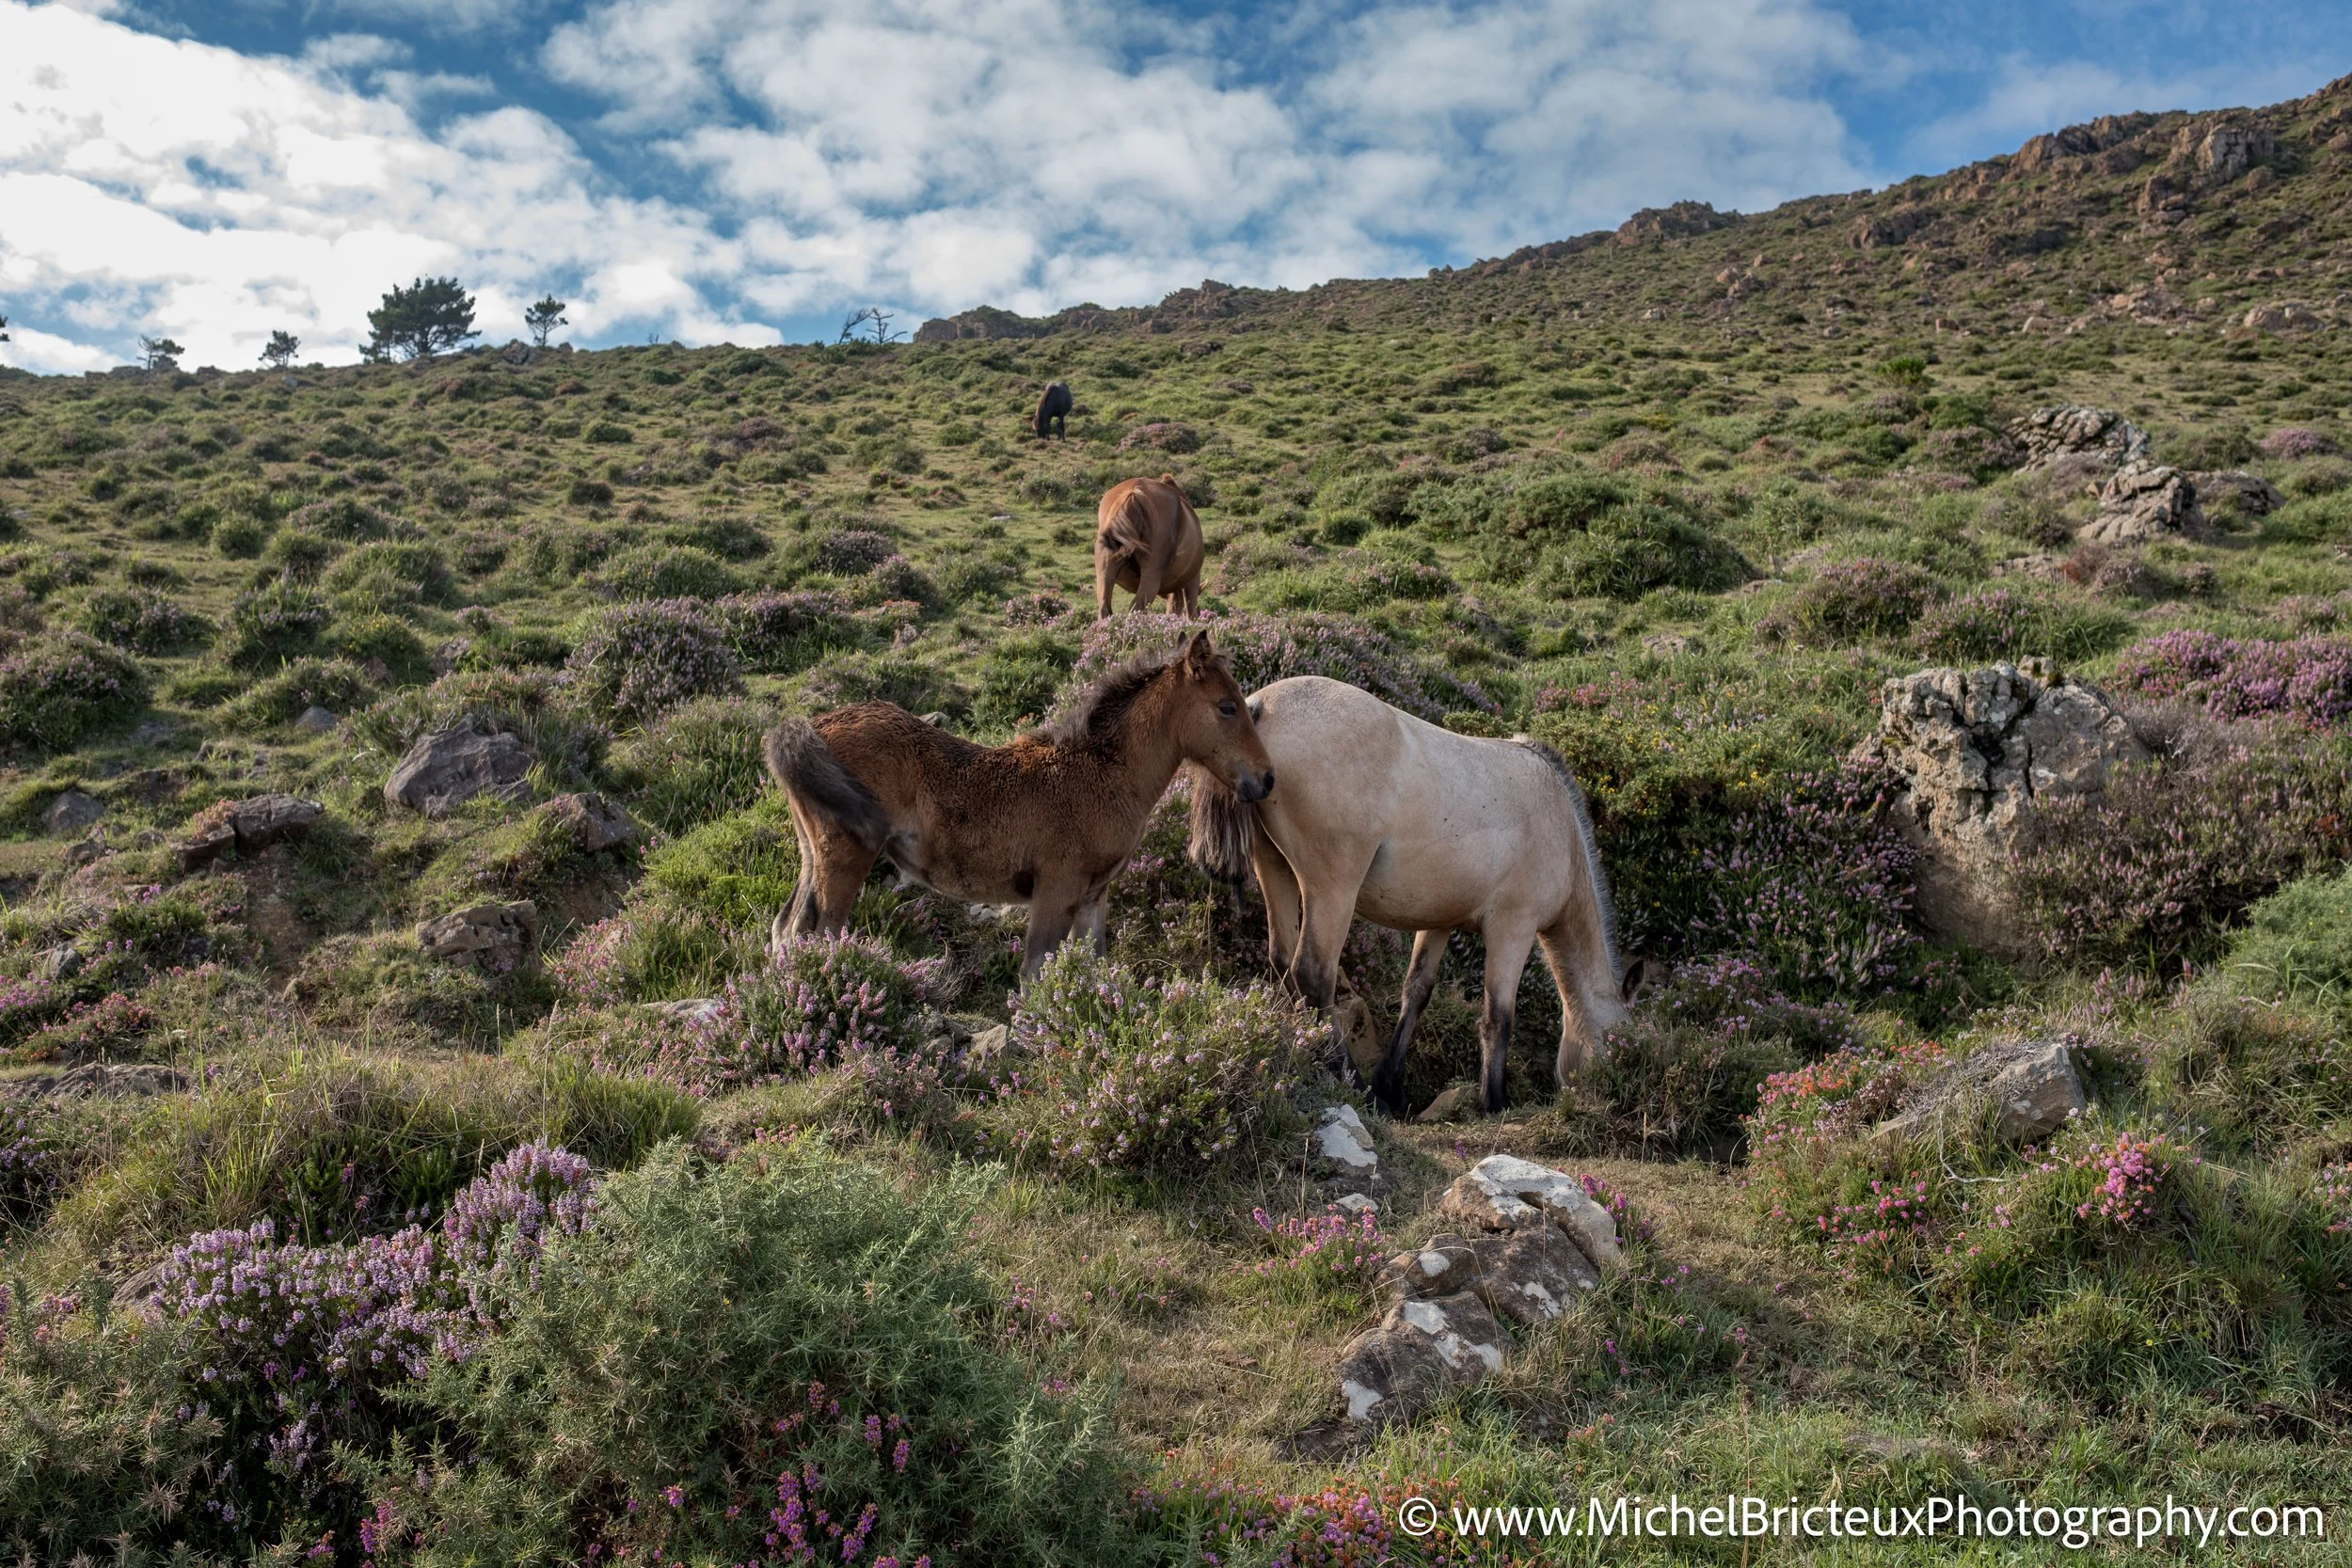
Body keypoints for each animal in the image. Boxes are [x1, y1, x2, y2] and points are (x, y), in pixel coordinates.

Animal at [766, 630, 1274, 982]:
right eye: (1227, 707)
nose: (1266, 778)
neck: (1103, 773)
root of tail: (812, 726)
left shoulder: (1094, 895)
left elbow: (1092, 968)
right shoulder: (1057, 888)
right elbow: (1035, 974)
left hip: (813, 853)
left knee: (787, 927)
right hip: (847, 858)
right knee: (820, 934)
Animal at [1095, 475, 1204, 618]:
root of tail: (1133, 493)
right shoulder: (1192, 580)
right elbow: (1191, 612)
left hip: (1104, 570)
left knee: (1105, 608)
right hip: (1152, 575)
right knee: (1138, 606)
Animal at [1187, 676, 1643, 1116]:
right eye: (1618, 1044)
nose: (1612, 1095)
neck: (1559, 825)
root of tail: (1259, 705)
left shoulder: (1438, 922)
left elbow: (1416, 993)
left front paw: (1392, 1087)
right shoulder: (1513, 927)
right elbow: (1498, 1017)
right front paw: (1494, 1101)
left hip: (1274, 868)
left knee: (1282, 960)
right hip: (1332, 890)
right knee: (1313, 975)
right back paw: (1351, 1082)